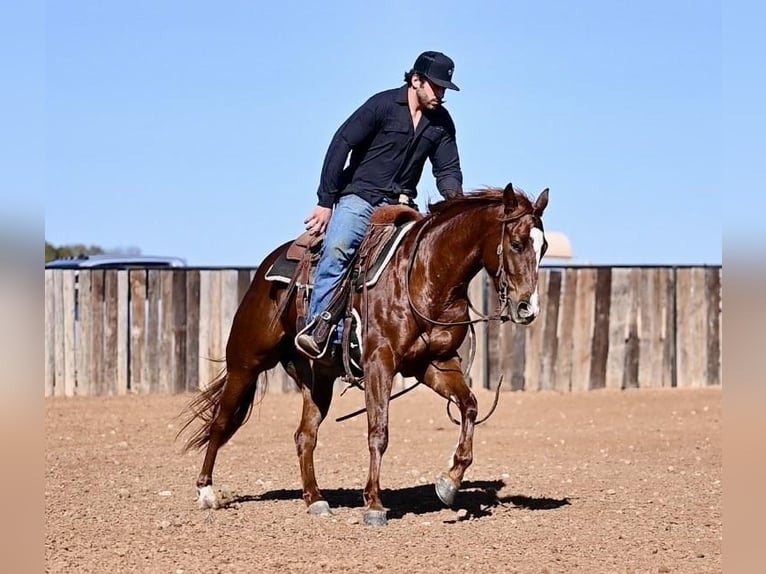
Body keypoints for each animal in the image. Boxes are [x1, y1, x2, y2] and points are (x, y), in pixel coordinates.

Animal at [181, 183, 548, 528]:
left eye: (543, 247)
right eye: (517, 244)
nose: (528, 308)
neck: (425, 275)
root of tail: (266, 268)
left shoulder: (435, 365)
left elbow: (470, 406)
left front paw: (449, 482)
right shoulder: (379, 364)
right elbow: (378, 432)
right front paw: (373, 505)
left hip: (318, 377)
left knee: (305, 435)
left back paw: (315, 499)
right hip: (246, 362)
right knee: (221, 420)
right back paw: (207, 492)